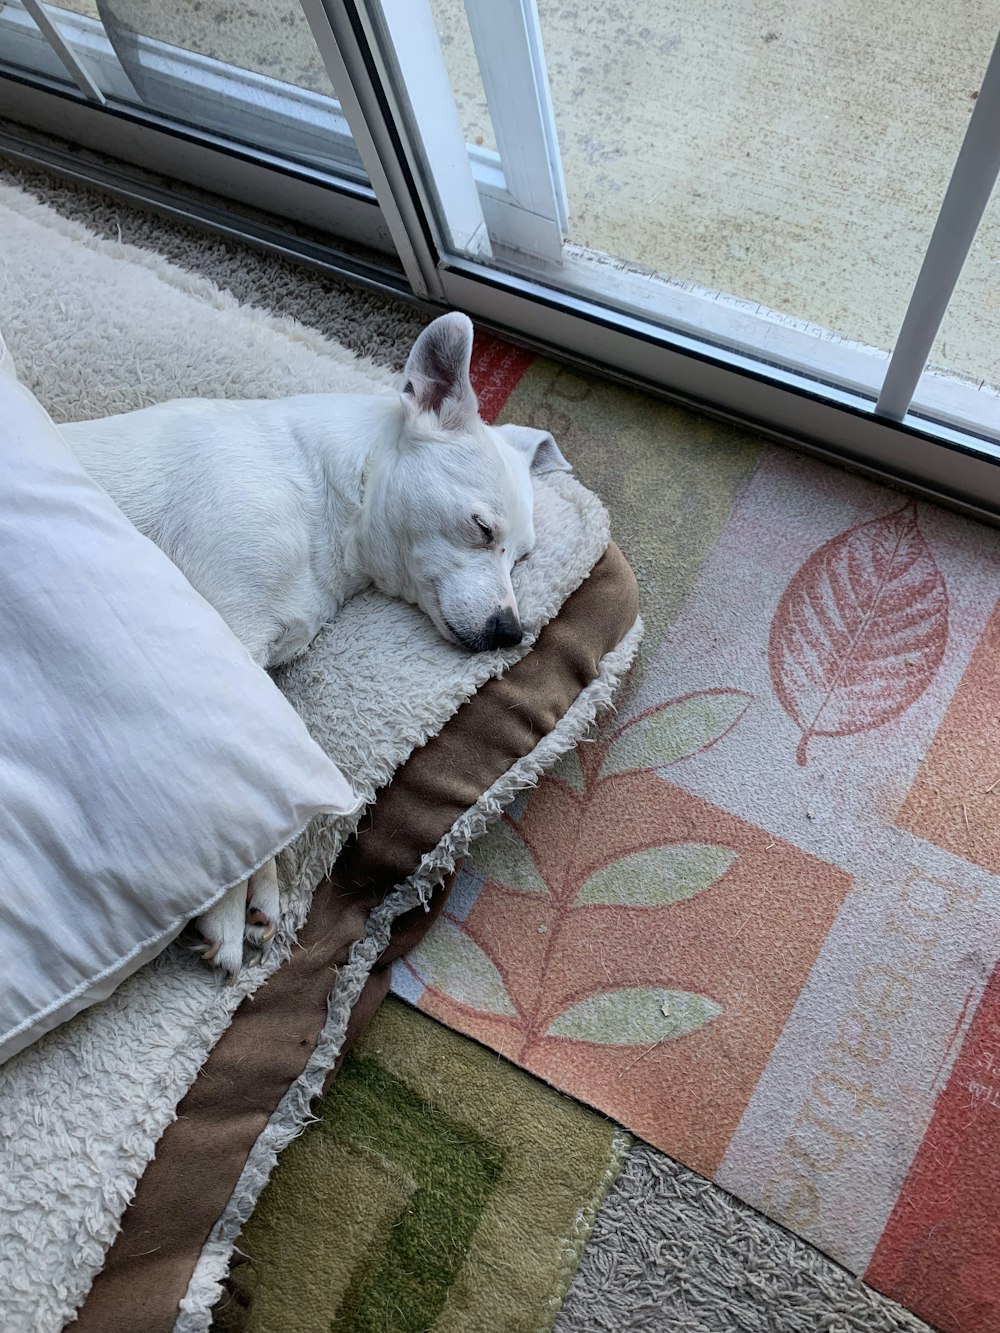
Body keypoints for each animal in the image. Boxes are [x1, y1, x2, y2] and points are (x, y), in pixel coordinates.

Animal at [62, 311, 570, 981]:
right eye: (482, 529)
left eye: (523, 559)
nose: (511, 631)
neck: (321, 492)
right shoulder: (229, 624)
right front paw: (226, 911)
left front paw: (262, 889)